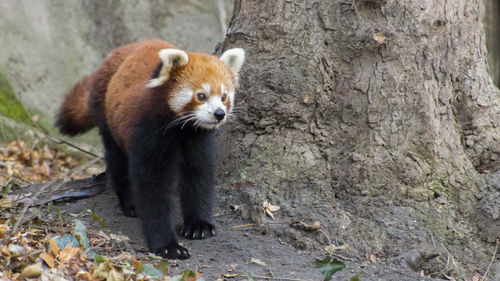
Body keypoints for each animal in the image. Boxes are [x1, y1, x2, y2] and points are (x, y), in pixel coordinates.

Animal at [55, 38, 245, 258]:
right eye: (201, 96)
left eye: (224, 96)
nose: (219, 114)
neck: (181, 129)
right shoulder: (149, 131)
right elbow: (152, 186)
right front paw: (167, 245)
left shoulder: (198, 139)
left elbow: (199, 176)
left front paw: (199, 224)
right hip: (107, 114)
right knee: (118, 161)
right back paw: (129, 202)